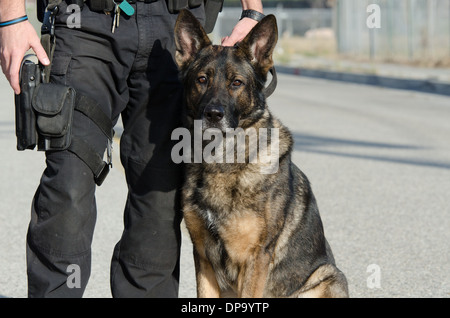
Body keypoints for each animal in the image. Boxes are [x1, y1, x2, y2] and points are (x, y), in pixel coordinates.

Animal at [172, 9, 348, 298]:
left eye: (236, 83)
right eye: (202, 80)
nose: (213, 115)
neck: (221, 160)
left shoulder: (255, 259)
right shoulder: (203, 257)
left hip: (328, 277)